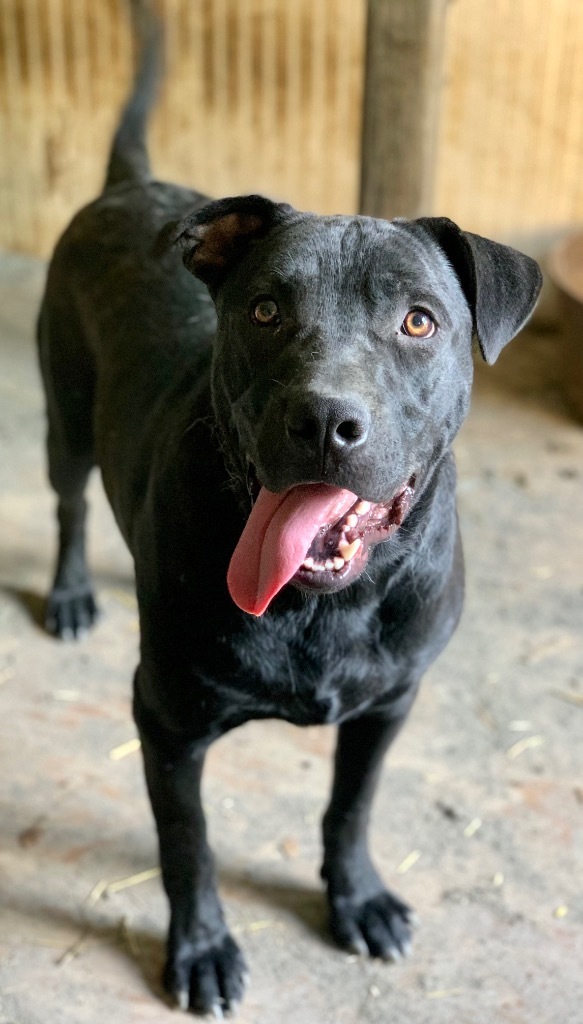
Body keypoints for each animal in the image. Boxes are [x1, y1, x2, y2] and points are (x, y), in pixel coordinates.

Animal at [37, 12, 540, 1019]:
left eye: (418, 321)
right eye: (265, 310)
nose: (323, 420)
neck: (325, 605)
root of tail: (129, 187)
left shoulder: (388, 704)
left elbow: (350, 806)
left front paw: (358, 897)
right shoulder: (167, 721)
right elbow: (186, 845)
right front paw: (200, 948)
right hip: (66, 413)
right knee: (70, 504)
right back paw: (71, 594)